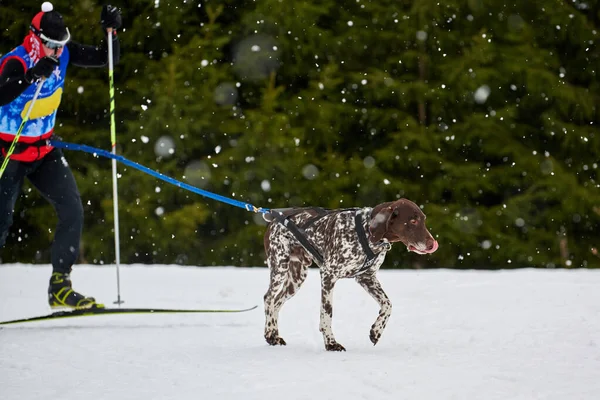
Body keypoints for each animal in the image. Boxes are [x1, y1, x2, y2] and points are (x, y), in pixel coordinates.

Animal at [260, 199, 438, 350]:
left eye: (423, 219)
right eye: (413, 221)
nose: (433, 245)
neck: (367, 232)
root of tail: (274, 217)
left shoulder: (367, 278)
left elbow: (388, 305)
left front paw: (376, 331)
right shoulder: (328, 275)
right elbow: (327, 313)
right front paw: (331, 343)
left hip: (296, 278)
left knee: (277, 301)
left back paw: (274, 336)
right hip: (280, 267)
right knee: (269, 298)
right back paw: (270, 334)